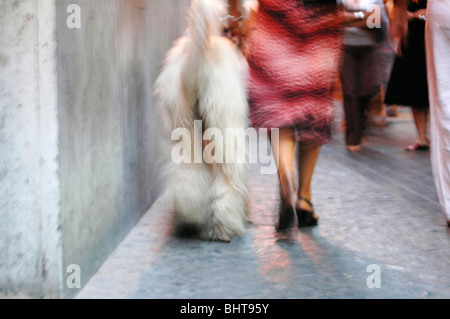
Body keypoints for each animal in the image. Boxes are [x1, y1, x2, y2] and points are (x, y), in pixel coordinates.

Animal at [154, 0, 253, 241]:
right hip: (223, 127)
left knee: (188, 180)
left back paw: (192, 218)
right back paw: (225, 228)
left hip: (181, 129)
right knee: (227, 180)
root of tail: (194, 63)